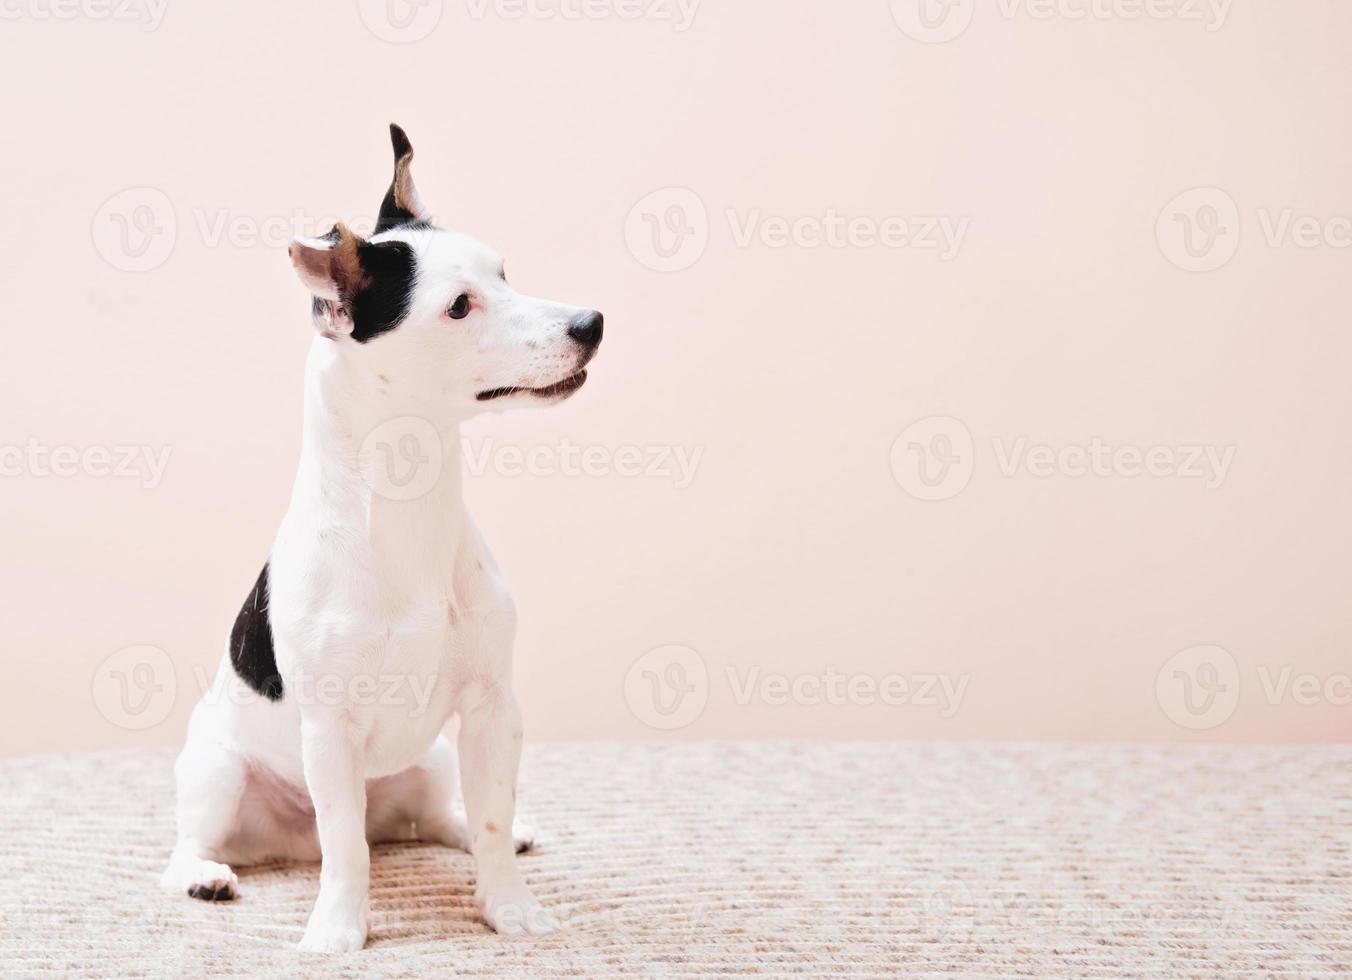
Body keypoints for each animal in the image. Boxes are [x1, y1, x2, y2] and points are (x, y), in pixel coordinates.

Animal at [159, 126, 602, 951]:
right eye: (459, 307)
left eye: (503, 273)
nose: (590, 324)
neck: (407, 510)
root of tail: (286, 843)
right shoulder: (331, 732)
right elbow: (348, 849)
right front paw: (338, 931)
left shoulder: (493, 709)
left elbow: (489, 824)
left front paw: (509, 907)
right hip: (217, 773)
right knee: (206, 844)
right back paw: (207, 875)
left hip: (432, 761)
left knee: (440, 820)